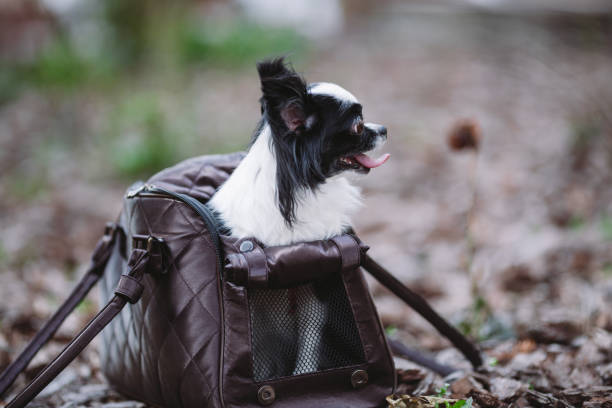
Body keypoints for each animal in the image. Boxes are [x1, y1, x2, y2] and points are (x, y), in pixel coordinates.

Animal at [208, 58, 390, 380]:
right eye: (358, 125)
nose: (383, 129)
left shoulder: (313, 298)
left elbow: (307, 350)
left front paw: (305, 379)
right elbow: (258, 360)